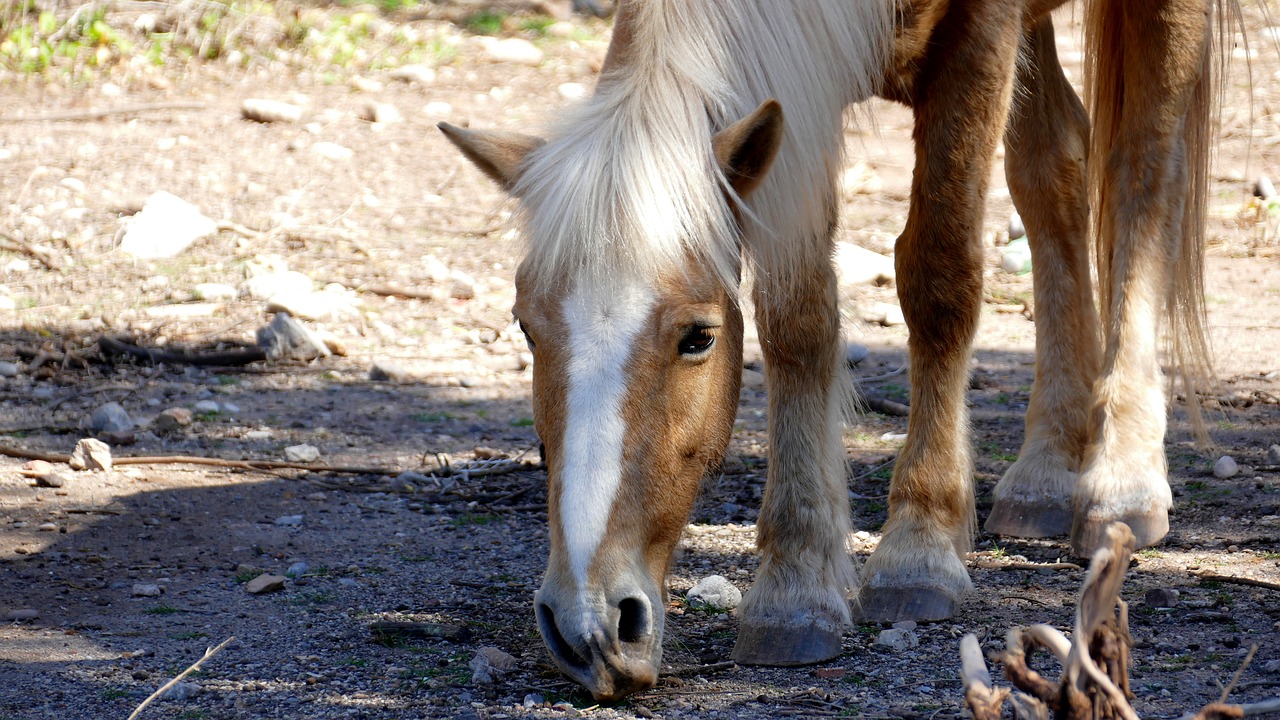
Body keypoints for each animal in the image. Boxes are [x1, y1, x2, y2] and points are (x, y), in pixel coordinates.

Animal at [445, 0, 1223, 702]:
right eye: (526, 329)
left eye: (698, 337)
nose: (592, 625)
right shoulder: (799, 103)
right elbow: (796, 317)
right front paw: (795, 587)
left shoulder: (980, 36)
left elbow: (940, 275)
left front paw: (919, 546)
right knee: (1054, 168)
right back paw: (1044, 473)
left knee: (1143, 177)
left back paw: (1123, 480)